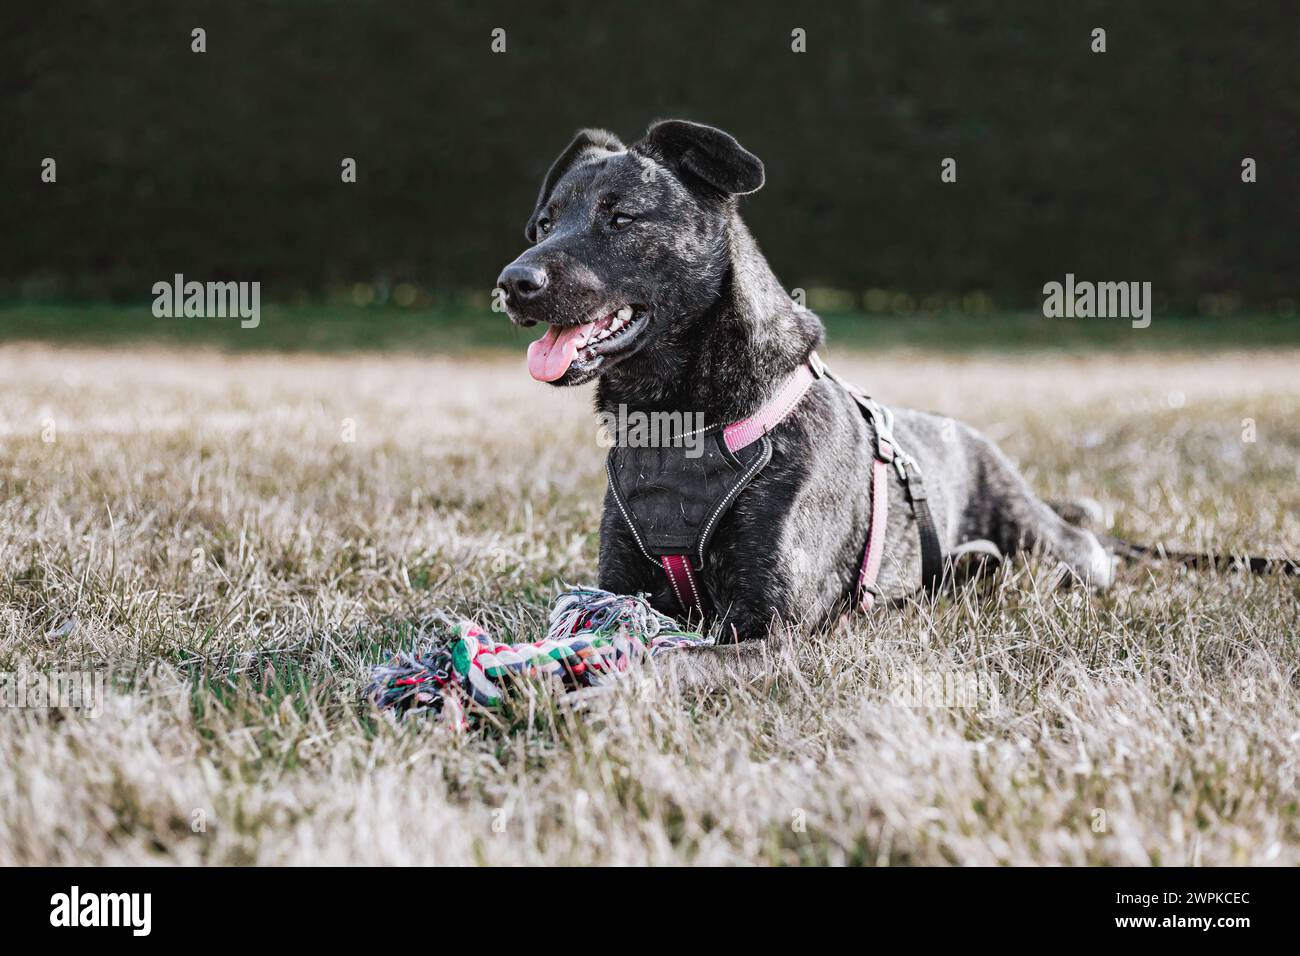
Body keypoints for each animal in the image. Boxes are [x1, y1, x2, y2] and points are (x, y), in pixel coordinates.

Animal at [496, 121, 1289, 642]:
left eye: (620, 217)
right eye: (544, 222)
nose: (513, 282)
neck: (682, 419)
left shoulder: (764, 622)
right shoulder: (617, 584)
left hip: (1052, 547)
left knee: (1085, 554)